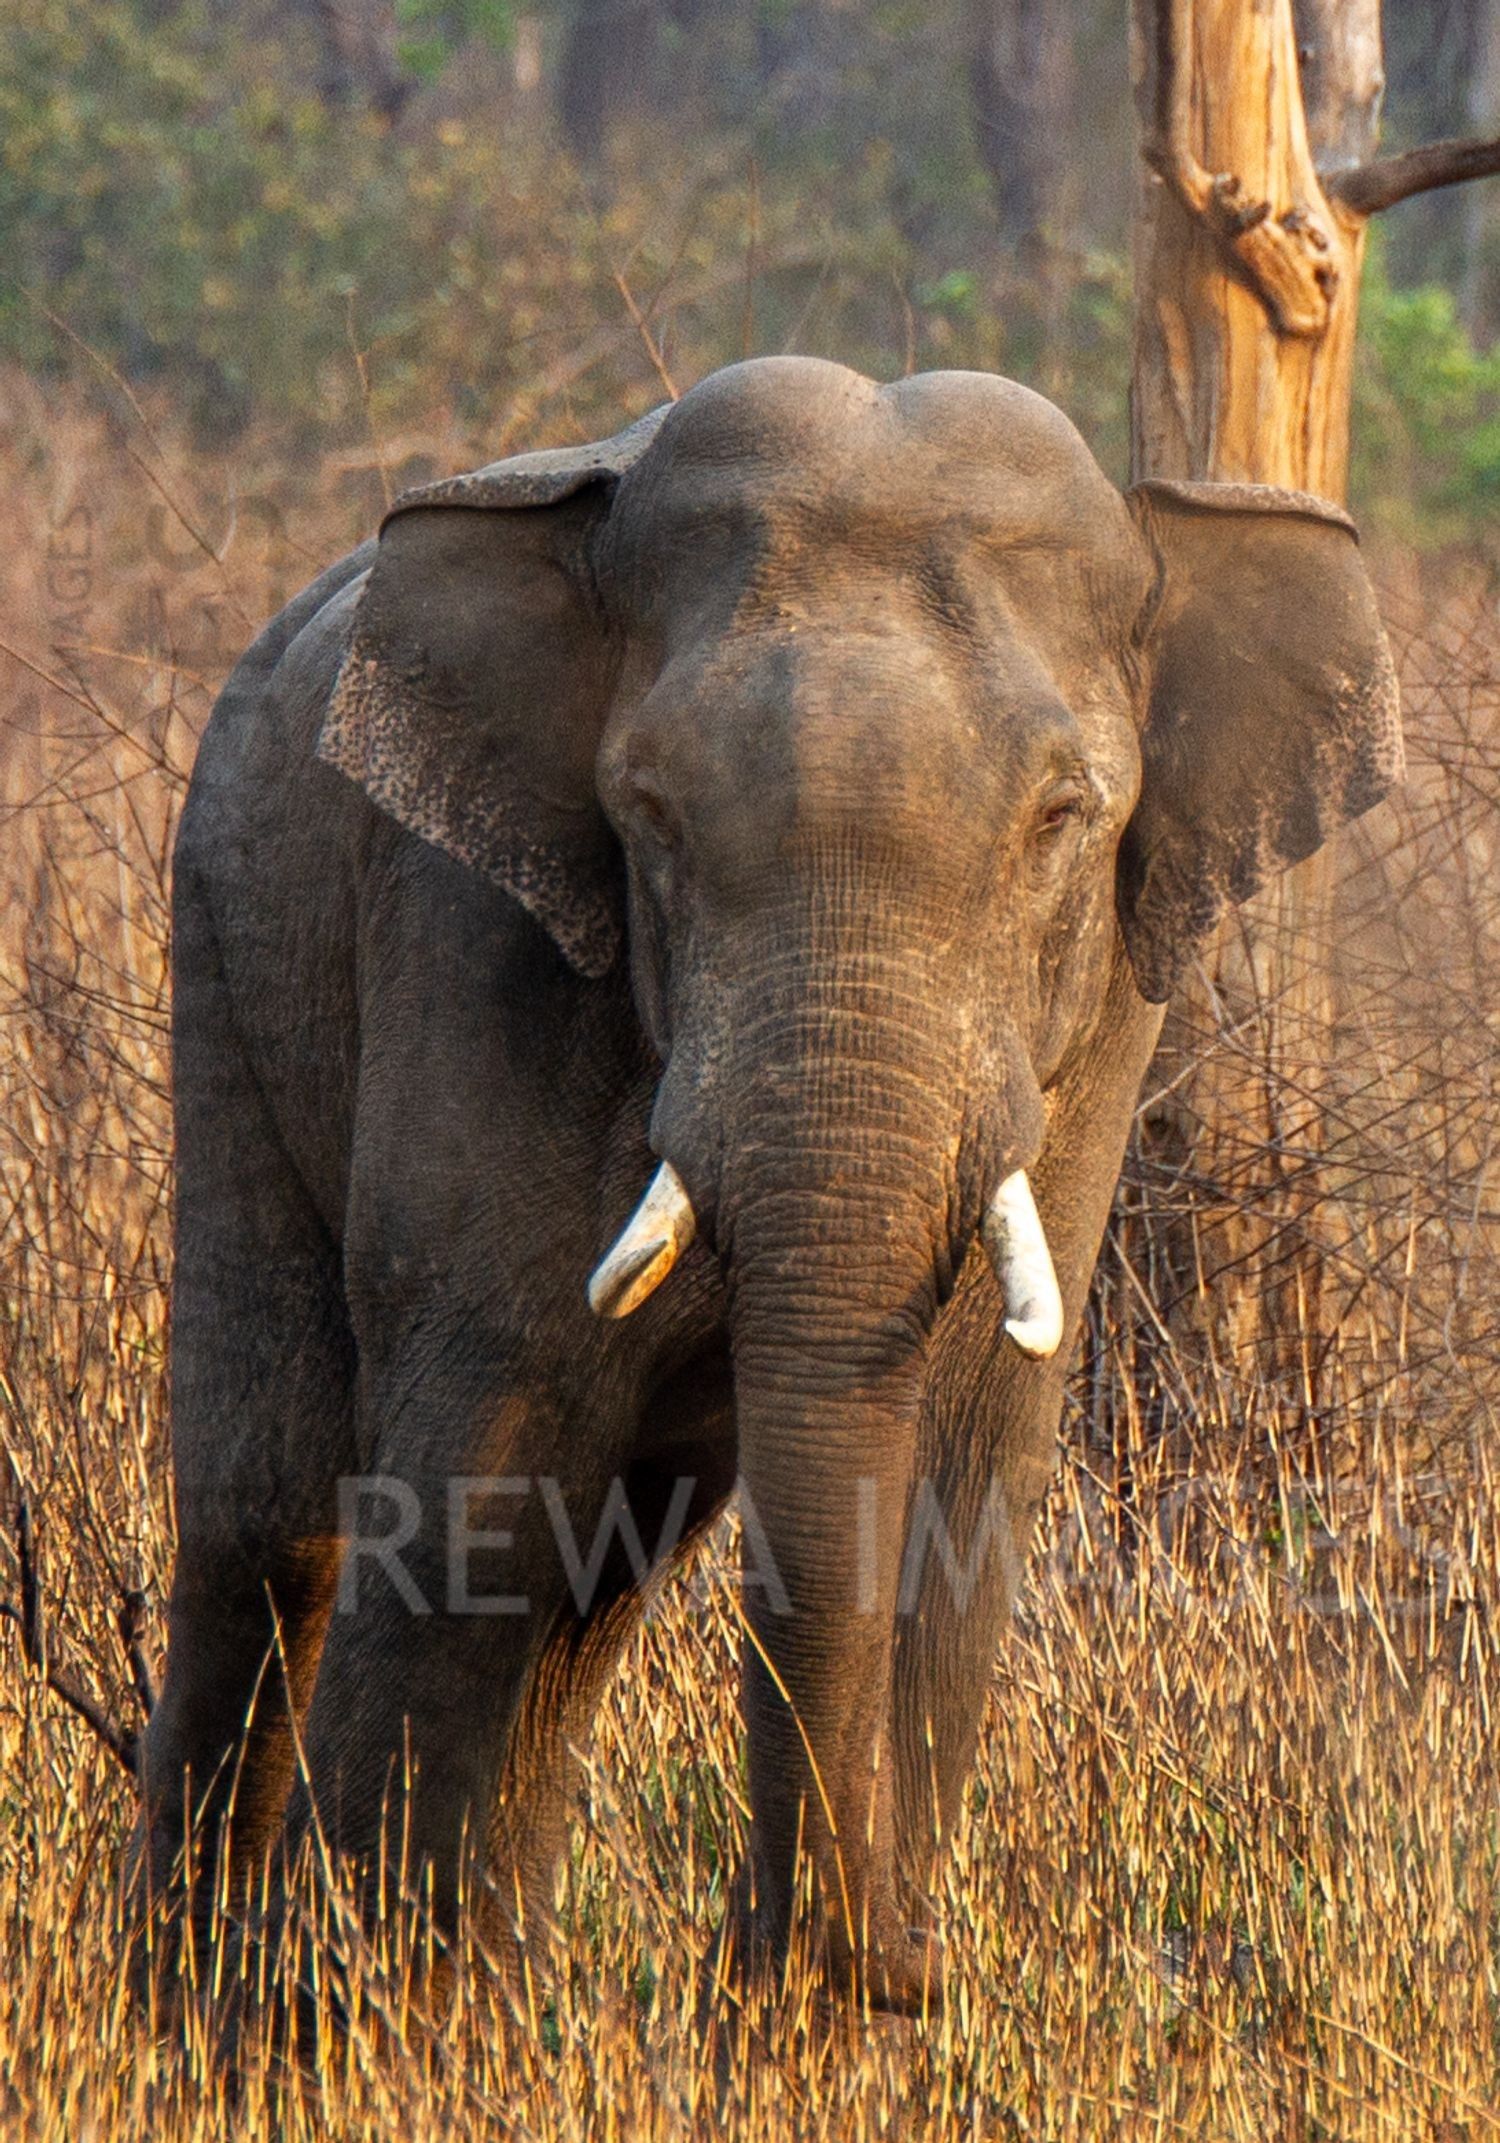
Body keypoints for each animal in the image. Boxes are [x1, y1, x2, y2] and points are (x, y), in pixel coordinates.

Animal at [136, 356, 1400, 2017]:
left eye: (1064, 817)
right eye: (650, 816)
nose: (906, 1960)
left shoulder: (1112, 1015)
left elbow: (959, 1455)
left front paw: (818, 2027)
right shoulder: (467, 929)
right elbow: (485, 1432)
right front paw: (342, 2022)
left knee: (598, 1581)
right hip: (221, 937)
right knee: (271, 1523)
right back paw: (193, 2015)